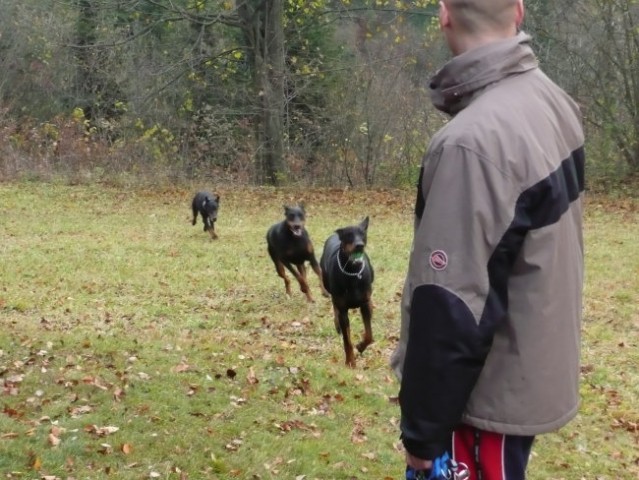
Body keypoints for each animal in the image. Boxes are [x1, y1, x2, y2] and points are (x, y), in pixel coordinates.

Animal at [320, 218, 376, 368]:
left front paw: (361, 346)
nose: (359, 245)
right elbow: (347, 340)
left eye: (362, 234)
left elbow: (369, 335)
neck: (352, 272)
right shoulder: (343, 310)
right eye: (349, 235)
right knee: (334, 305)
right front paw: (350, 362)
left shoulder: (364, 304)